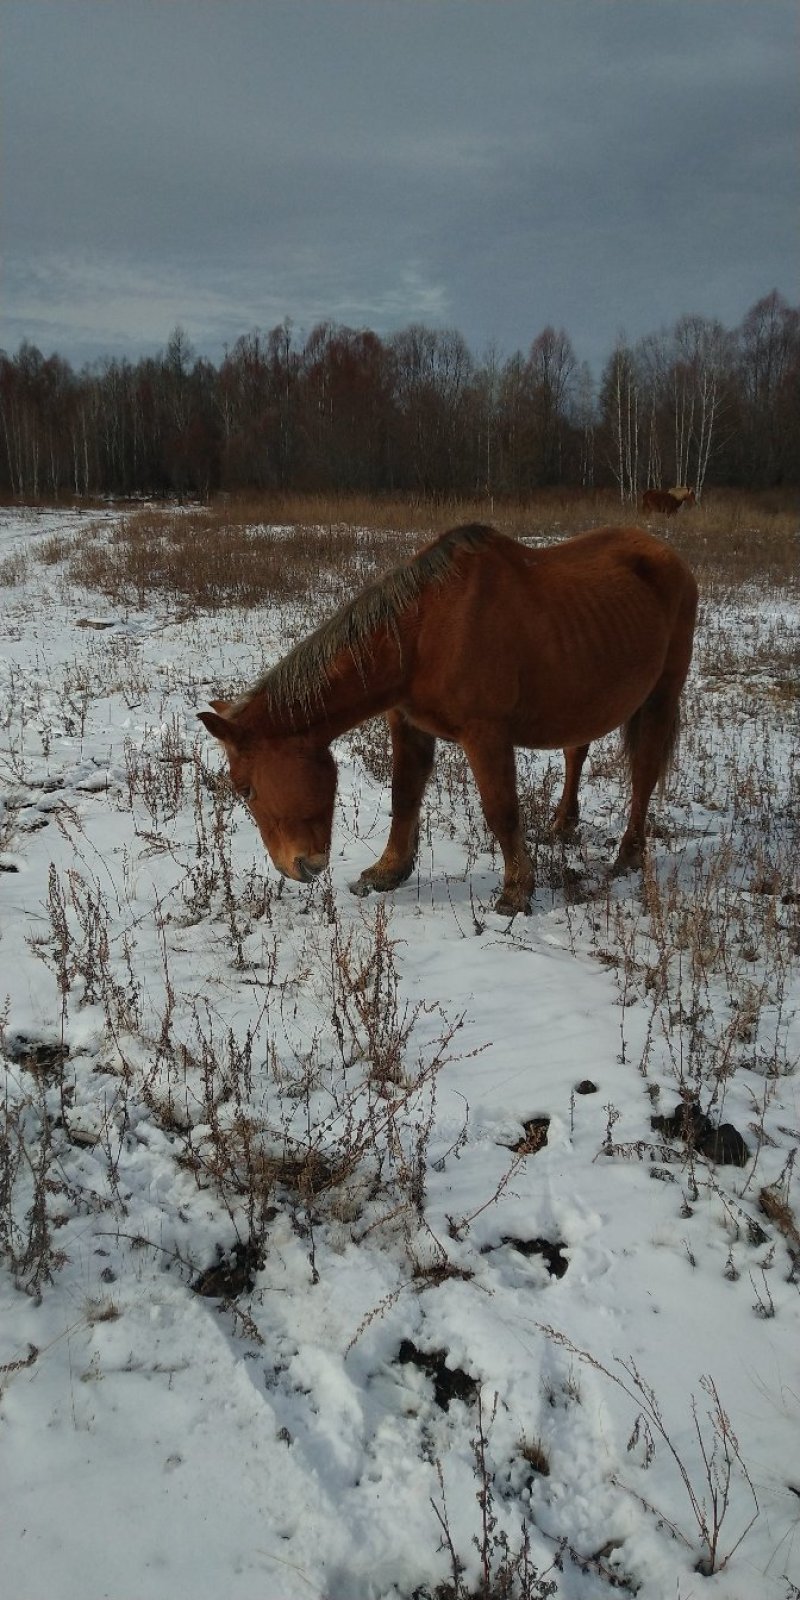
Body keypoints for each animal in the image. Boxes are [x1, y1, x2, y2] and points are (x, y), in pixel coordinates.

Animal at [198, 523, 698, 915]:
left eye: (245, 788)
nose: (297, 868)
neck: (425, 633)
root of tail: (669, 555)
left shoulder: (485, 734)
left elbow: (501, 811)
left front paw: (517, 891)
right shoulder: (409, 725)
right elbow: (404, 797)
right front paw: (386, 872)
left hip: (660, 697)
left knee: (644, 773)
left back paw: (628, 856)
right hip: (585, 697)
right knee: (577, 752)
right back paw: (561, 826)